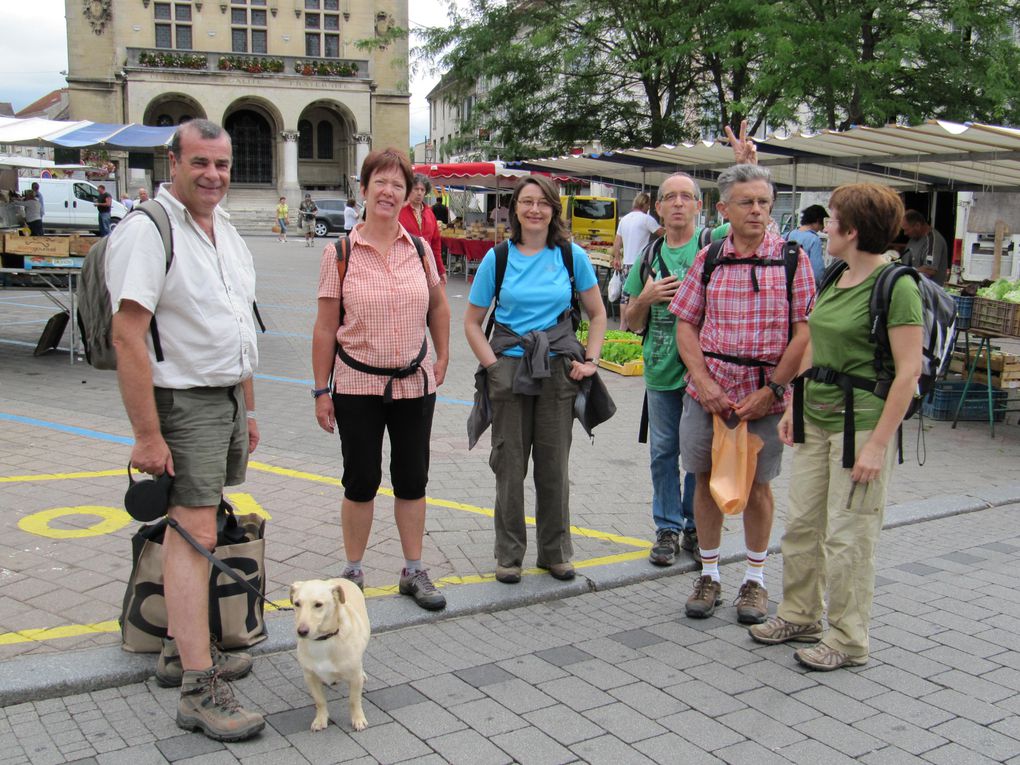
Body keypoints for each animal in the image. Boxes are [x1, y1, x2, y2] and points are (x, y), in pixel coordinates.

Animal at [289, 579, 373, 734]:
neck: (323, 640)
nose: (301, 631)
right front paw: (320, 719)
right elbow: (320, 701)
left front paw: (358, 719)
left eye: (318, 604)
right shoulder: (310, 677)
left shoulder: (354, 678)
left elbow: (354, 700)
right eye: (297, 603)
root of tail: (340, 579)